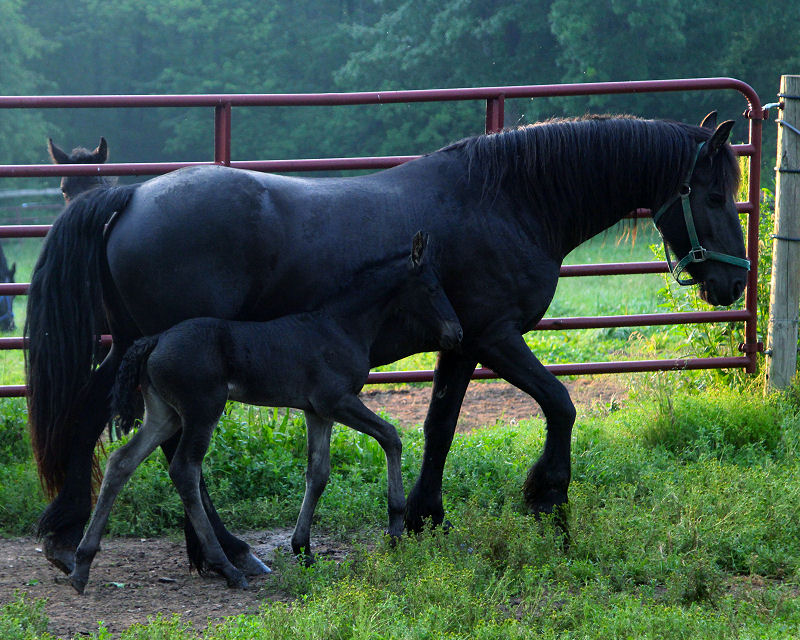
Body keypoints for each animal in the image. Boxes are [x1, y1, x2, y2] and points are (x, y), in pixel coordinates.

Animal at [67, 232, 462, 592]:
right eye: (431, 288)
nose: (456, 333)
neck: (340, 325)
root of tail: (155, 340)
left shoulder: (317, 412)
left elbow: (318, 473)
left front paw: (303, 549)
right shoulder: (338, 401)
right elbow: (391, 437)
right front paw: (395, 529)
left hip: (165, 414)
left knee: (122, 461)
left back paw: (82, 564)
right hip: (202, 410)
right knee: (184, 470)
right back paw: (229, 568)